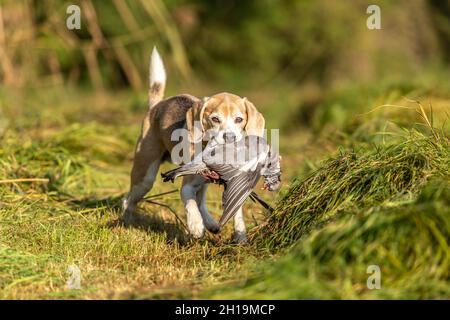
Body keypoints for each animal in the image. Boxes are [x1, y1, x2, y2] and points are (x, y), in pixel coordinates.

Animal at [121, 48, 266, 242]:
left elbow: (235, 211)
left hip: (199, 182)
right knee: (128, 200)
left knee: (201, 201)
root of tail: (157, 105)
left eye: (239, 119)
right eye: (215, 119)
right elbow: (190, 204)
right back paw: (126, 221)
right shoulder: (187, 186)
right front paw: (196, 226)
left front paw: (240, 235)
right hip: (145, 177)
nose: (229, 137)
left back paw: (211, 223)